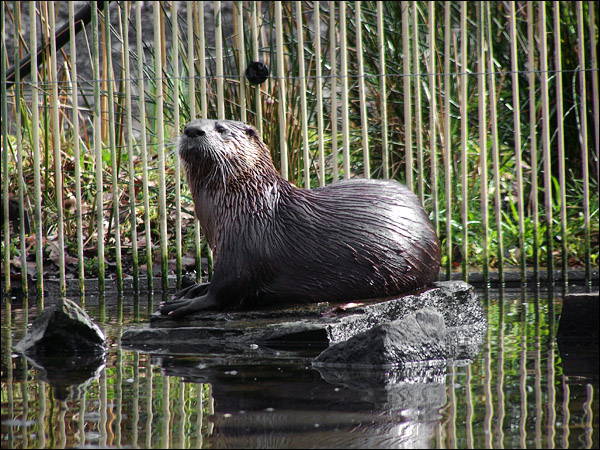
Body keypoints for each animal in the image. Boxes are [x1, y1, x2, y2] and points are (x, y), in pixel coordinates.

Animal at [161, 118, 440, 318]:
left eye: (221, 129)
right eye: (186, 125)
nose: (193, 130)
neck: (246, 206)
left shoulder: (243, 249)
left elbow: (223, 292)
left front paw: (185, 304)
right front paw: (192, 288)